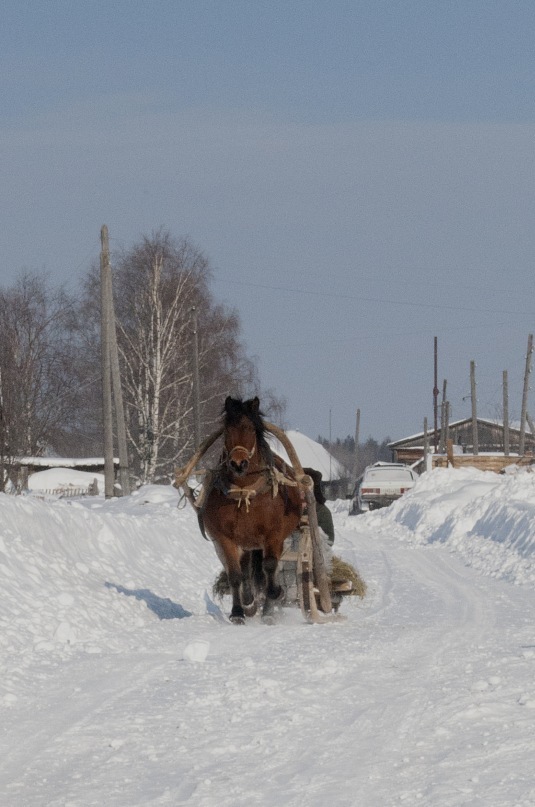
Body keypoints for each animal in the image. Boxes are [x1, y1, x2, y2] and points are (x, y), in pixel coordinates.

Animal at [201, 398, 302, 624]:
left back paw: (268, 610)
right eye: (227, 430)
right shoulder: (226, 538)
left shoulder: (273, 535)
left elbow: (270, 567)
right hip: (246, 542)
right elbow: (235, 574)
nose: (238, 463)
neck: (244, 491)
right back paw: (249, 602)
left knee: (268, 569)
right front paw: (238, 611)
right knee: (246, 570)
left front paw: (275, 594)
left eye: (250, 428)